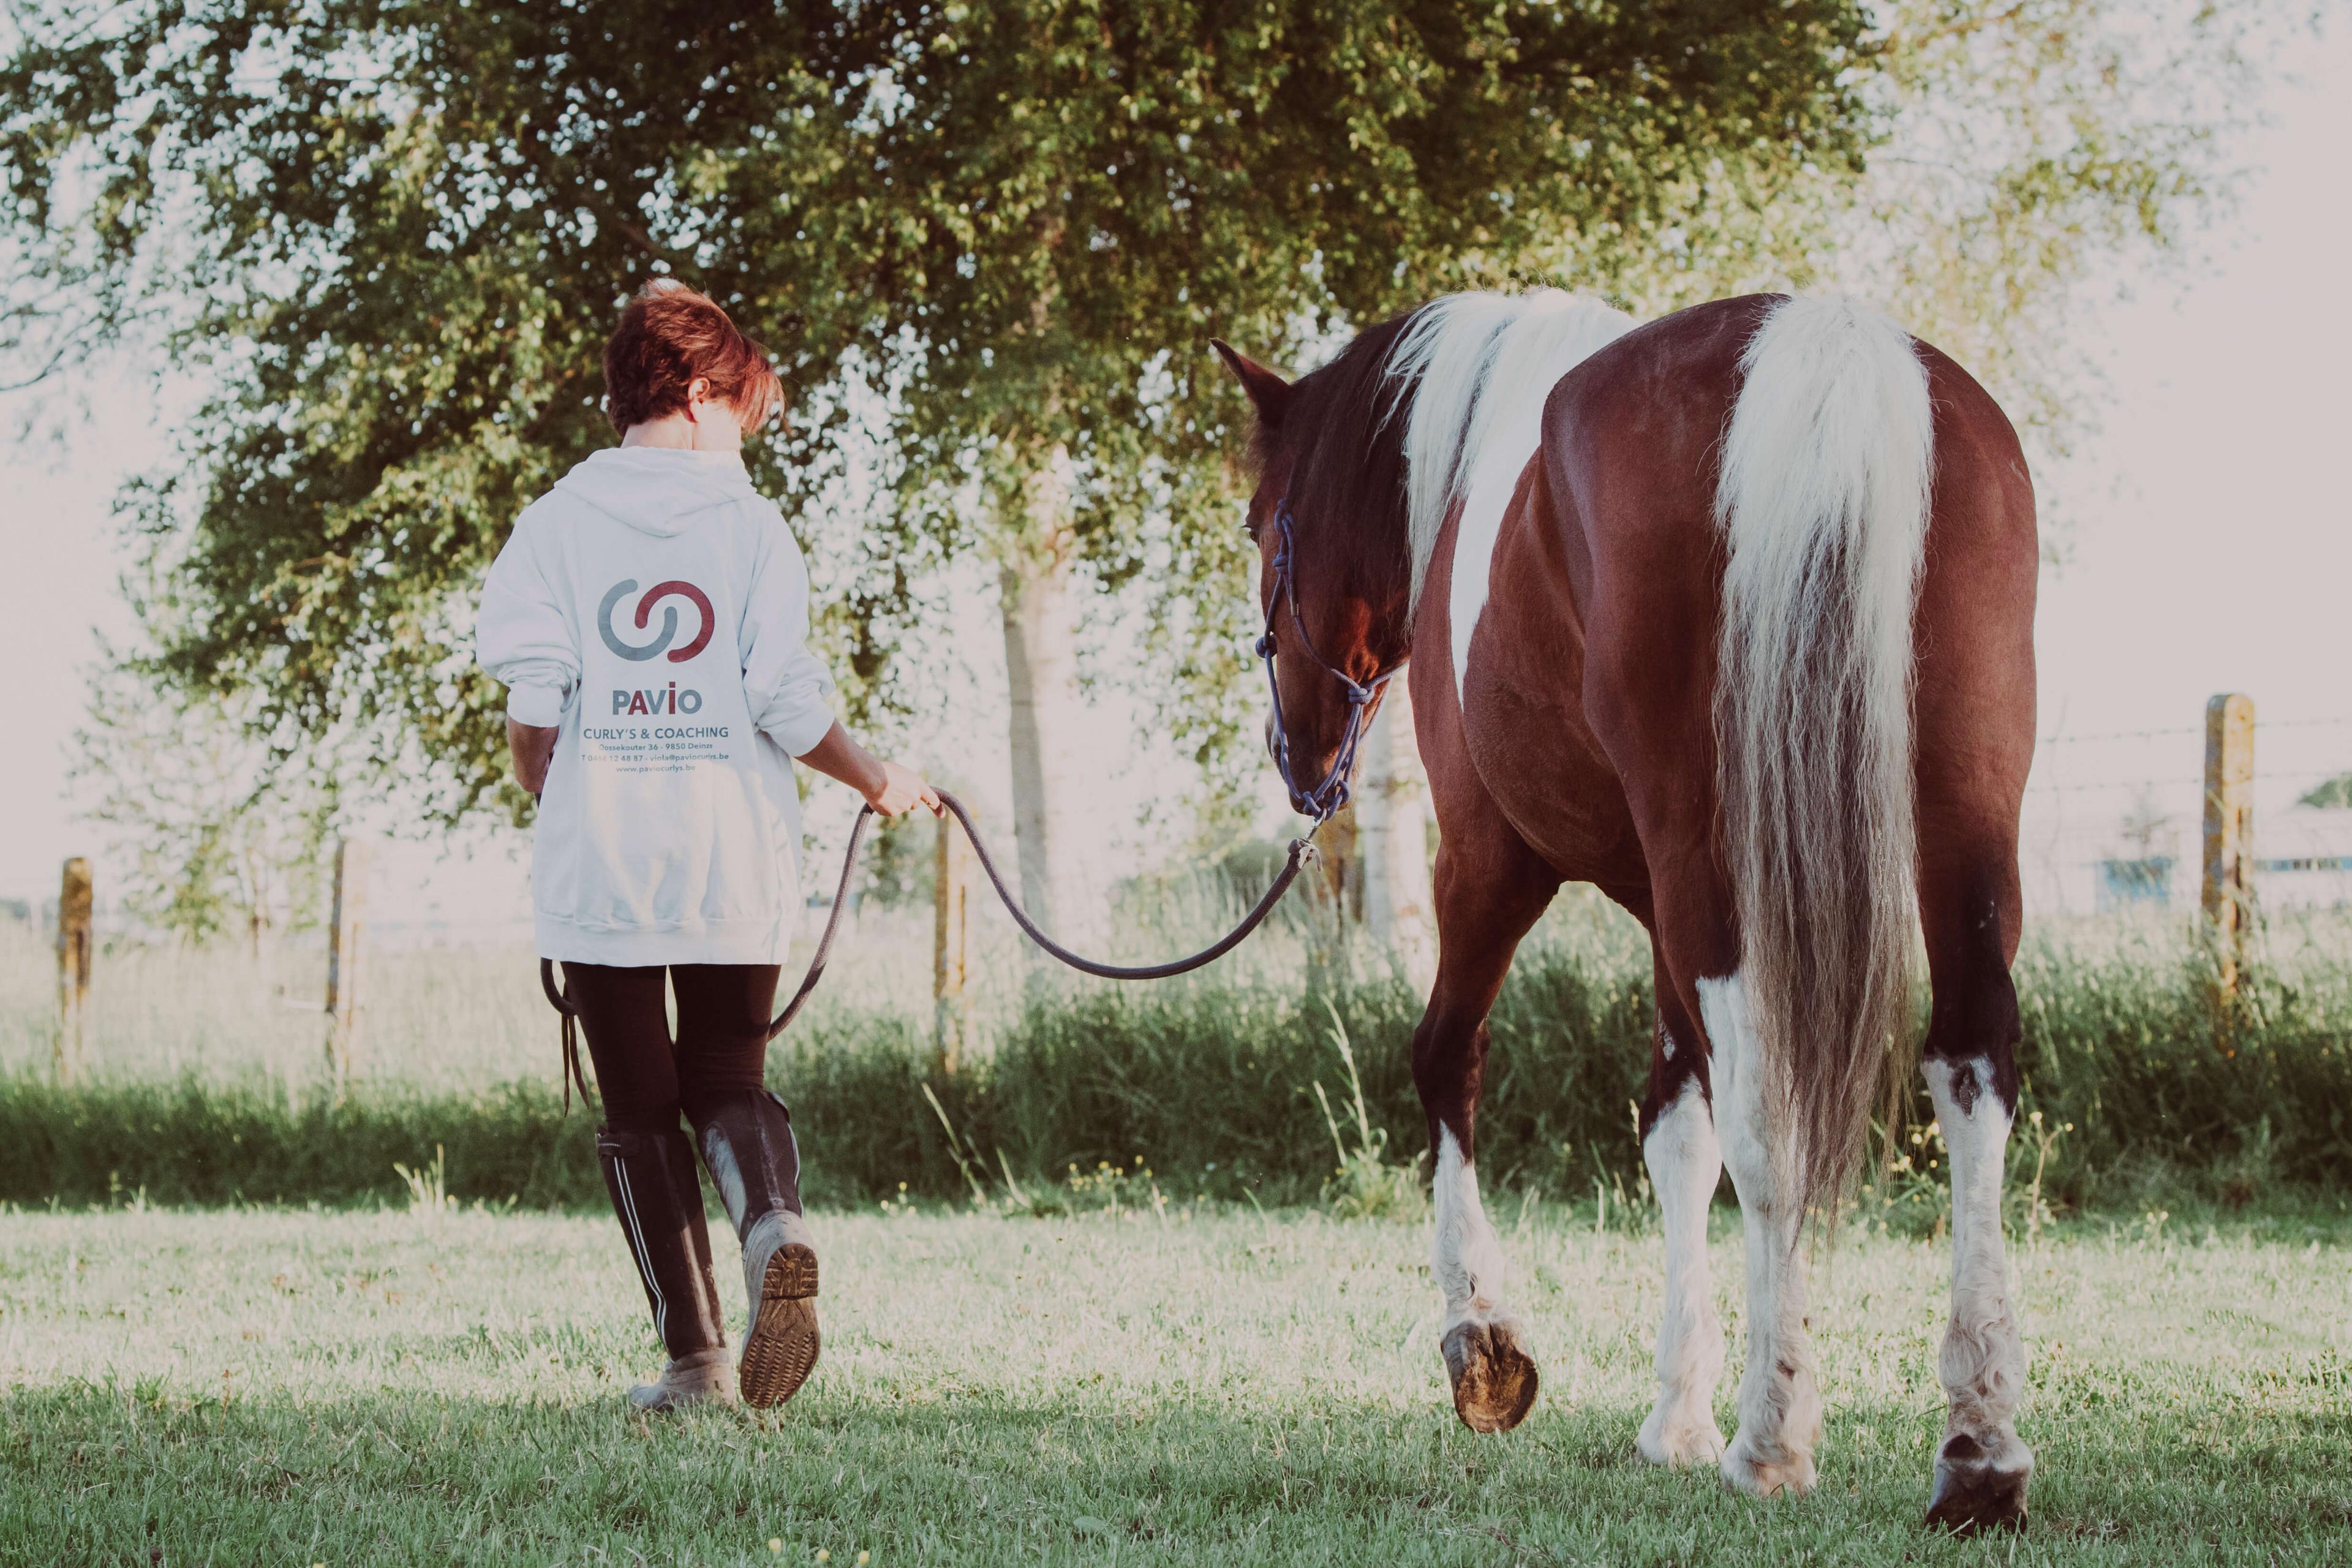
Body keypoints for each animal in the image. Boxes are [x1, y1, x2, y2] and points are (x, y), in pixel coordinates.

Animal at [1213, 289, 2038, 1531]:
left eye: (1266, 528)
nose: (1293, 754)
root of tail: (1821, 348)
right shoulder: (1659, 904)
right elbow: (1676, 1132)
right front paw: (1674, 1415)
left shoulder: (1491, 860)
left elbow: (1446, 1055)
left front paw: (1483, 1342)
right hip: (1961, 829)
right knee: (1973, 1068)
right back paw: (1980, 1448)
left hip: (1697, 862)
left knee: (1769, 1111)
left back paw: (1773, 1437)